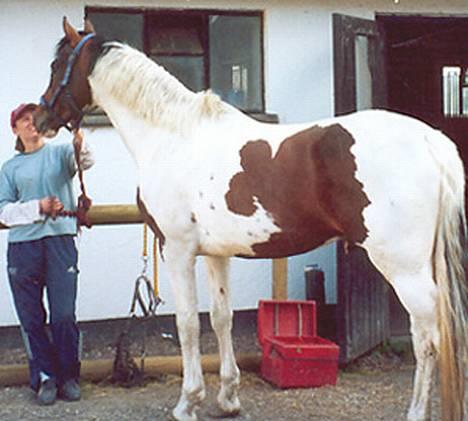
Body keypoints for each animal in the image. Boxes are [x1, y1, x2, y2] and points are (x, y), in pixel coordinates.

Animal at [34, 17, 466, 420]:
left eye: (56, 65)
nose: (39, 119)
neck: (172, 136)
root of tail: (431, 141)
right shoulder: (216, 253)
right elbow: (221, 318)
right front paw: (227, 398)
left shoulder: (177, 251)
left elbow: (187, 324)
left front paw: (188, 402)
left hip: (403, 267)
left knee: (428, 337)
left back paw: (417, 411)